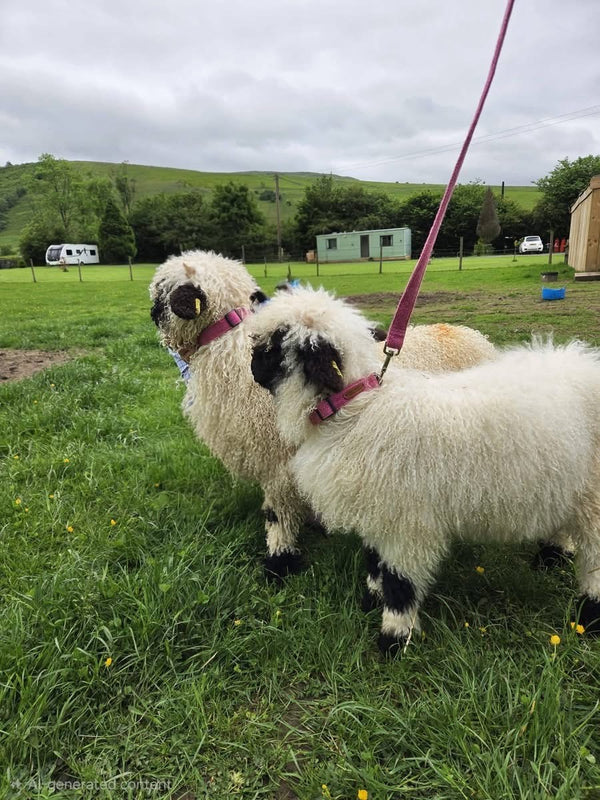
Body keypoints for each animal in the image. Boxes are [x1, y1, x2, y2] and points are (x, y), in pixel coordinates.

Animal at [149, 250, 496, 581]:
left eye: (161, 290)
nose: (151, 311)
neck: (227, 353)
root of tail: (471, 334)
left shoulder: (277, 462)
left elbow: (277, 514)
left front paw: (279, 560)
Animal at [248, 285, 600, 652]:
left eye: (275, 345)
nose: (252, 366)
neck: (356, 409)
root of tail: (582, 366)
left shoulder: (408, 526)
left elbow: (400, 583)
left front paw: (392, 640)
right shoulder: (379, 513)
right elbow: (375, 563)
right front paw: (371, 600)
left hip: (593, 496)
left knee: (594, 561)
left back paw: (590, 617)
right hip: (561, 481)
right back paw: (552, 558)